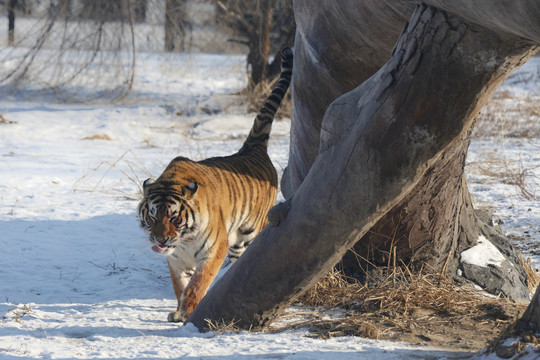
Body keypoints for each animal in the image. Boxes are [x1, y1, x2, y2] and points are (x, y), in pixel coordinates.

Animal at [137, 46, 294, 322]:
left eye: (174, 218)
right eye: (153, 216)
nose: (161, 240)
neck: (183, 240)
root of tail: (252, 148)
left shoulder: (213, 250)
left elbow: (198, 283)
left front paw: (188, 311)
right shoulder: (175, 259)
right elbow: (180, 284)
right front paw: (178, 311)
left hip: (247, 235)